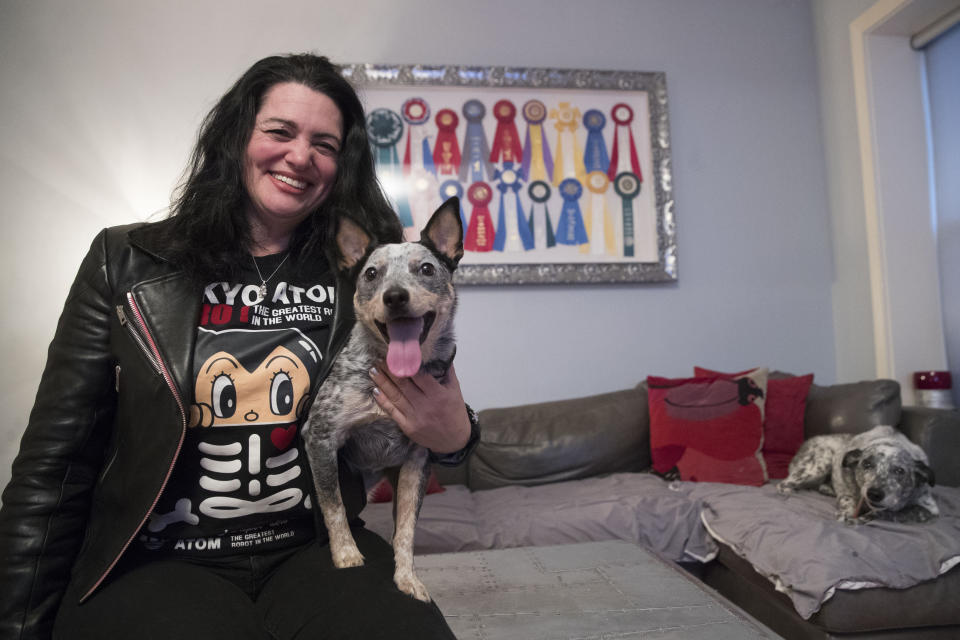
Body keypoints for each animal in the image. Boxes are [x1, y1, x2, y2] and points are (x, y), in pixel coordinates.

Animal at [302, 198, 464, 604]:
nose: (395, 296)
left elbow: (405, 531)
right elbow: (334, 506)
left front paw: (407, 578)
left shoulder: (418, 458)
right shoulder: (320, 436)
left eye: (426, 268)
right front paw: (346, 555)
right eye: (372, 274)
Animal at [780, 424, 936, 524]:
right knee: (783, 484)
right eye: (867, 464)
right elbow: (847, 502)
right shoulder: (846, 493)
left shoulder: (930, 510)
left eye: (900, 471)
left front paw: (864, 517)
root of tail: (806, 442)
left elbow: (890, 512)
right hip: (820, 464)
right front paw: (846, 514)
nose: (874, 494)